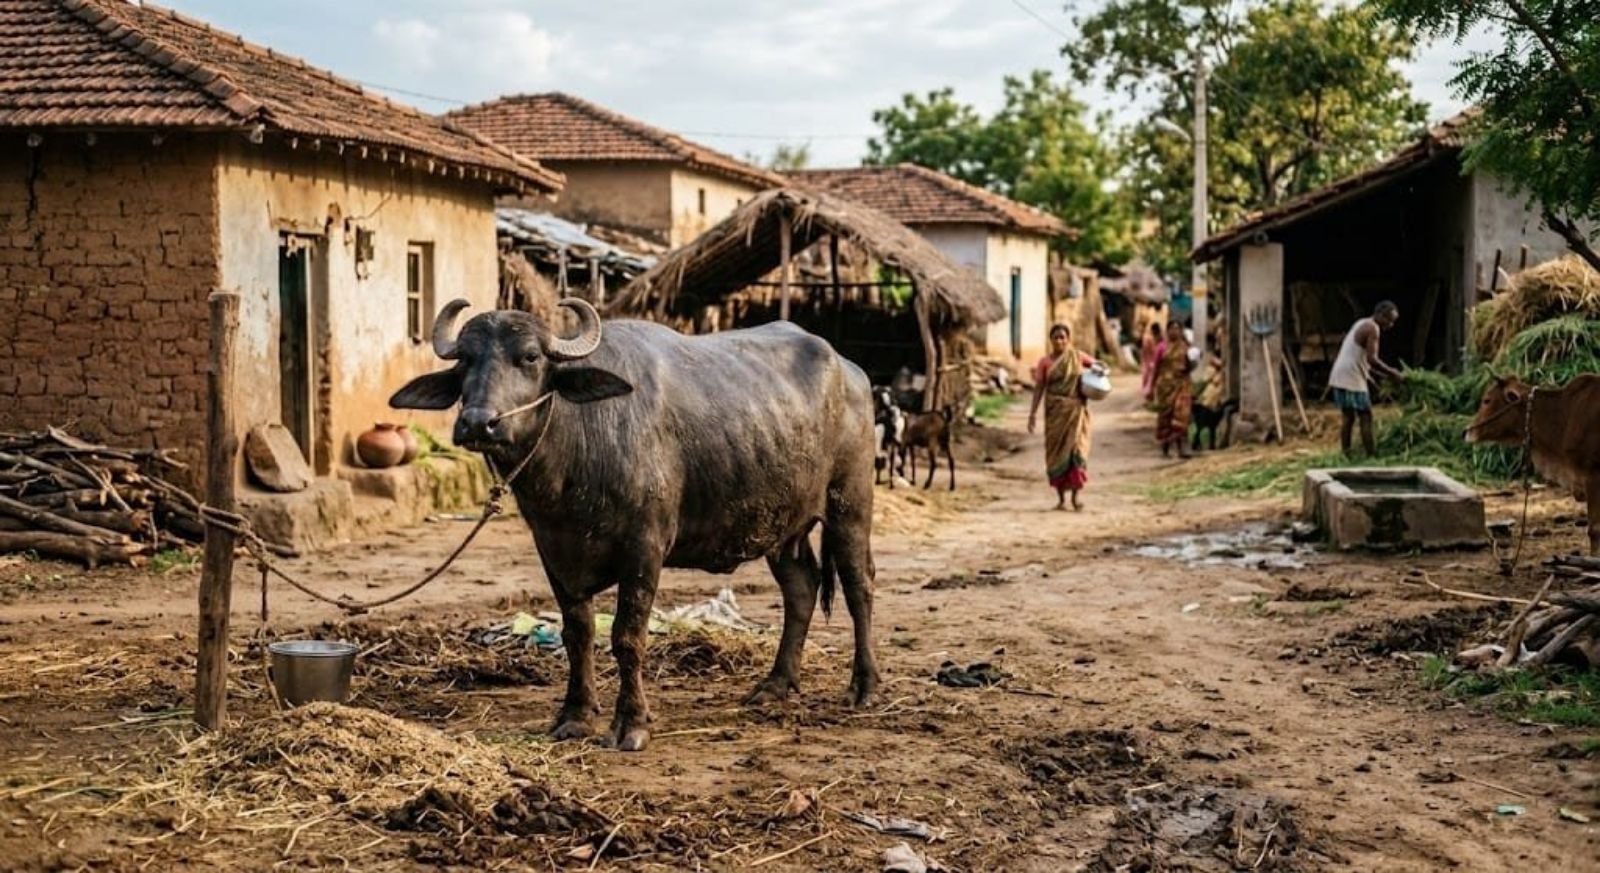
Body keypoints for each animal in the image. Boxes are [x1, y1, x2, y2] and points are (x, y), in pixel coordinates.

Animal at [390, 299, 881, 750]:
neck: (575, 450)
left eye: (529, 356)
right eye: (466, 360)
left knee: (859, 586)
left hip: (850, 504)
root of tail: (852, 371)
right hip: (781, 524)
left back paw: (865, 686)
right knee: (802, 587)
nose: (478, 423)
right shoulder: (553, 550)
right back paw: (776, 684)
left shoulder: (645, 549)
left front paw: (631, 723)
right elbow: (578, 634)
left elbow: (628, 636)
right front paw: (575, 716)